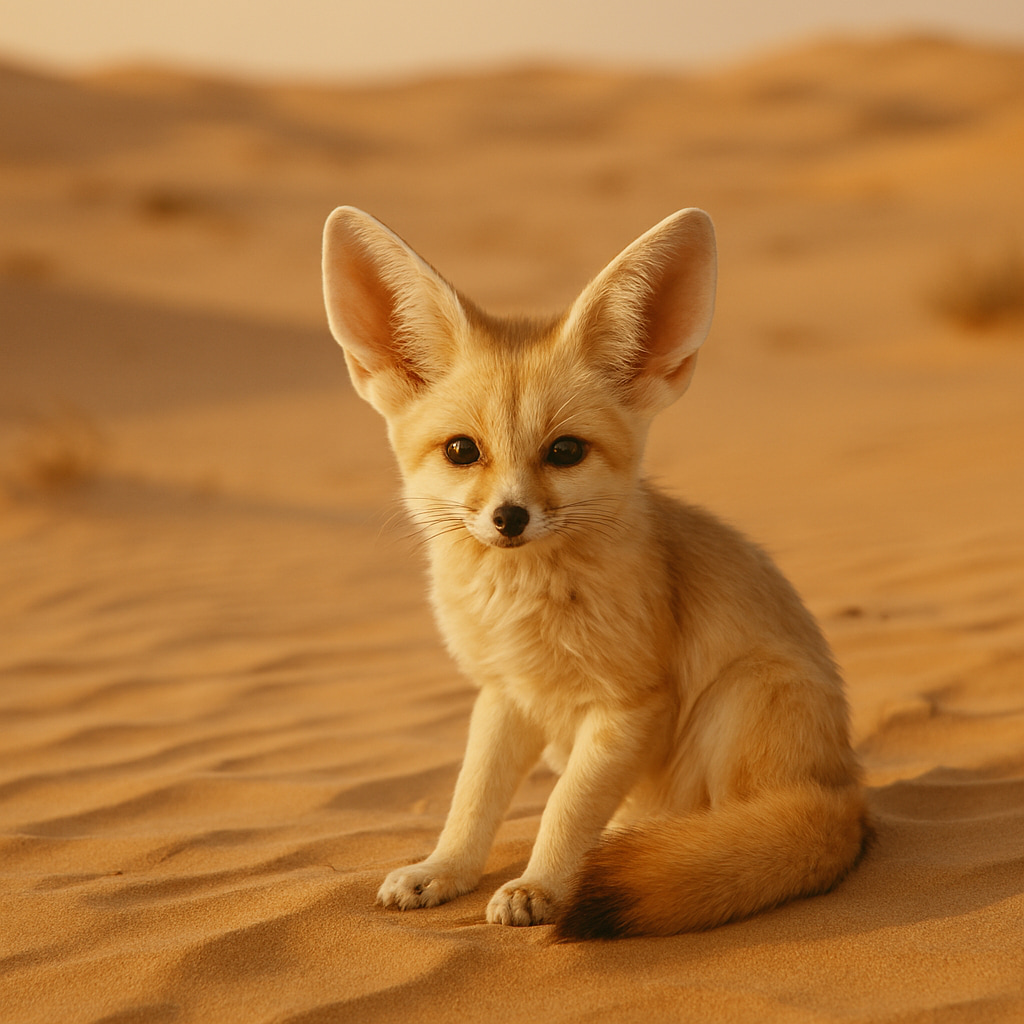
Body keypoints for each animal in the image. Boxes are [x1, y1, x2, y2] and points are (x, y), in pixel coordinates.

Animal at [321, 206, 870, 940]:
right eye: (462, 451)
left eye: (565, 452)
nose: (510, 517)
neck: (523, 605)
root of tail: (851, 795)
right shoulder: (505, 694)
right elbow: (471, 800)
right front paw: (444, 870)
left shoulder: (629, 706)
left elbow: (566, 809)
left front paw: (541, 887)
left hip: (741, 696)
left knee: (733, 828)